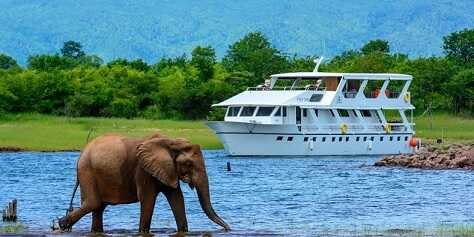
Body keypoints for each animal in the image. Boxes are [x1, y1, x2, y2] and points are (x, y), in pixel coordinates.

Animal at [56, 133, 231, 233]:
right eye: (188, 164)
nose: (228, 229)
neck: (170, 142)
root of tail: (81, 154)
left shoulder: (167, 170)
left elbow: (176, 198)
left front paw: (184, 231)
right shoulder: (143, 170)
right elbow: (148, 199)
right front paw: (143, 232)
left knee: (98, 207)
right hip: (87, 171)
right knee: (93, 203)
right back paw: (61, 225)